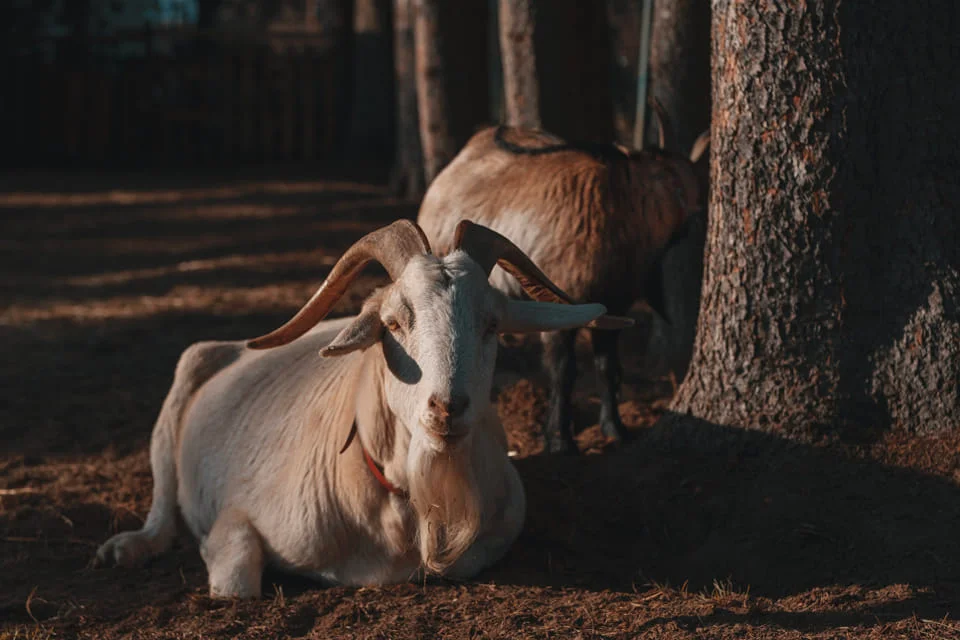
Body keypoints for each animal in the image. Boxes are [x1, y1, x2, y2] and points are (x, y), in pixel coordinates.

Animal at [92, 220, 616, 600]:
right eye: (393, 324)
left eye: (491, 324)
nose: (447, 408)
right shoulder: (238, 517)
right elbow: (236, 583)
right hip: (187, 373)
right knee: (162, 506)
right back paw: (127, 548)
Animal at [418, 120, 704, 452]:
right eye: (676, 185)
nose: (697, 215)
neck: (616, 205)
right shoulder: (559, 304)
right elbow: (563, 371)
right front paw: (558, 439)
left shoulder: (614, 304)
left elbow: (608, 368)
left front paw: (615, 428)